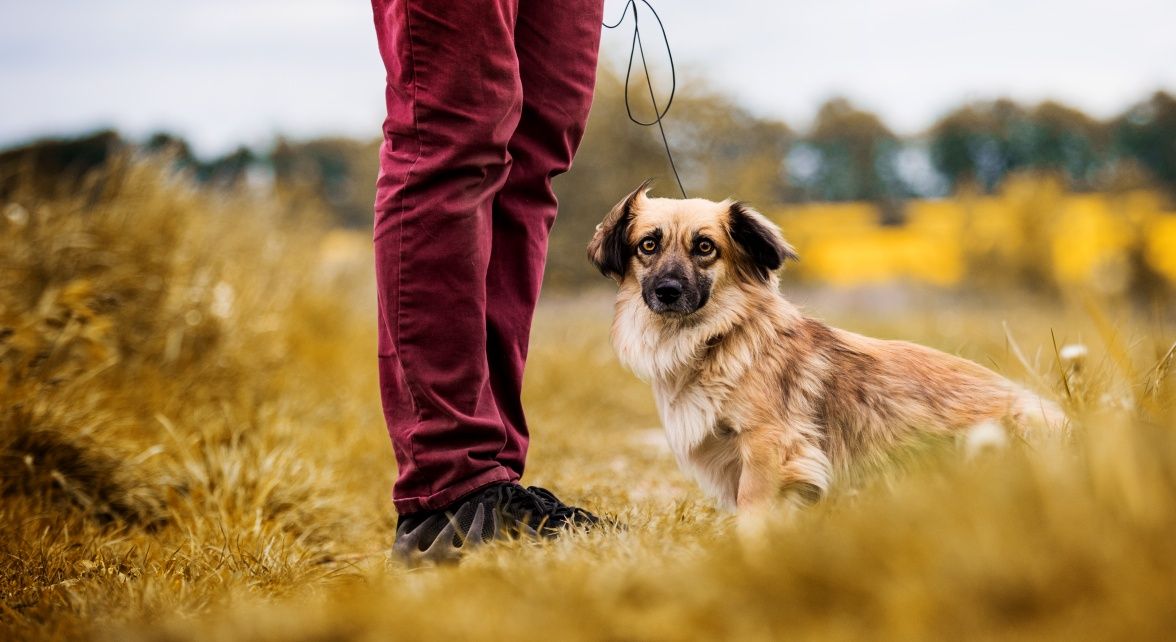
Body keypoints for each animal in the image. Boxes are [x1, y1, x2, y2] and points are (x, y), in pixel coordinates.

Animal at [588, 179, 1067, 519]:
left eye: (705, 247)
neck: (715, 341)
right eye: (648, 245)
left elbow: (753, 508)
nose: (667, 291)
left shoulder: (768, 447)